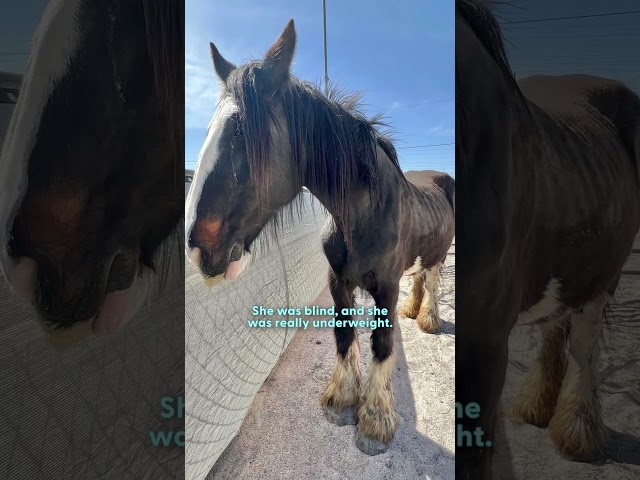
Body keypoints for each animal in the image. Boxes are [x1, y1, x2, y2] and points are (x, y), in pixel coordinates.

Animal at [185, 19, 455, 455]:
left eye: (242, 132)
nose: (196, 247)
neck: (365, 215)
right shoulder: (337, 281)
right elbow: (344, 336)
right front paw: (341, 400)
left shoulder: (386, 287)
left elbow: (382, 345)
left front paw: (374, 422)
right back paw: (414, 312)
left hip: (439, 255)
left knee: (430, 279)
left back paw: (428, 318)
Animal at [456, 0, 640, 477]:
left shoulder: (483, 345)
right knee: (557, 321)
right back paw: (538, 406)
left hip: (606, 271)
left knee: (586, 340)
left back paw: (578, 432)